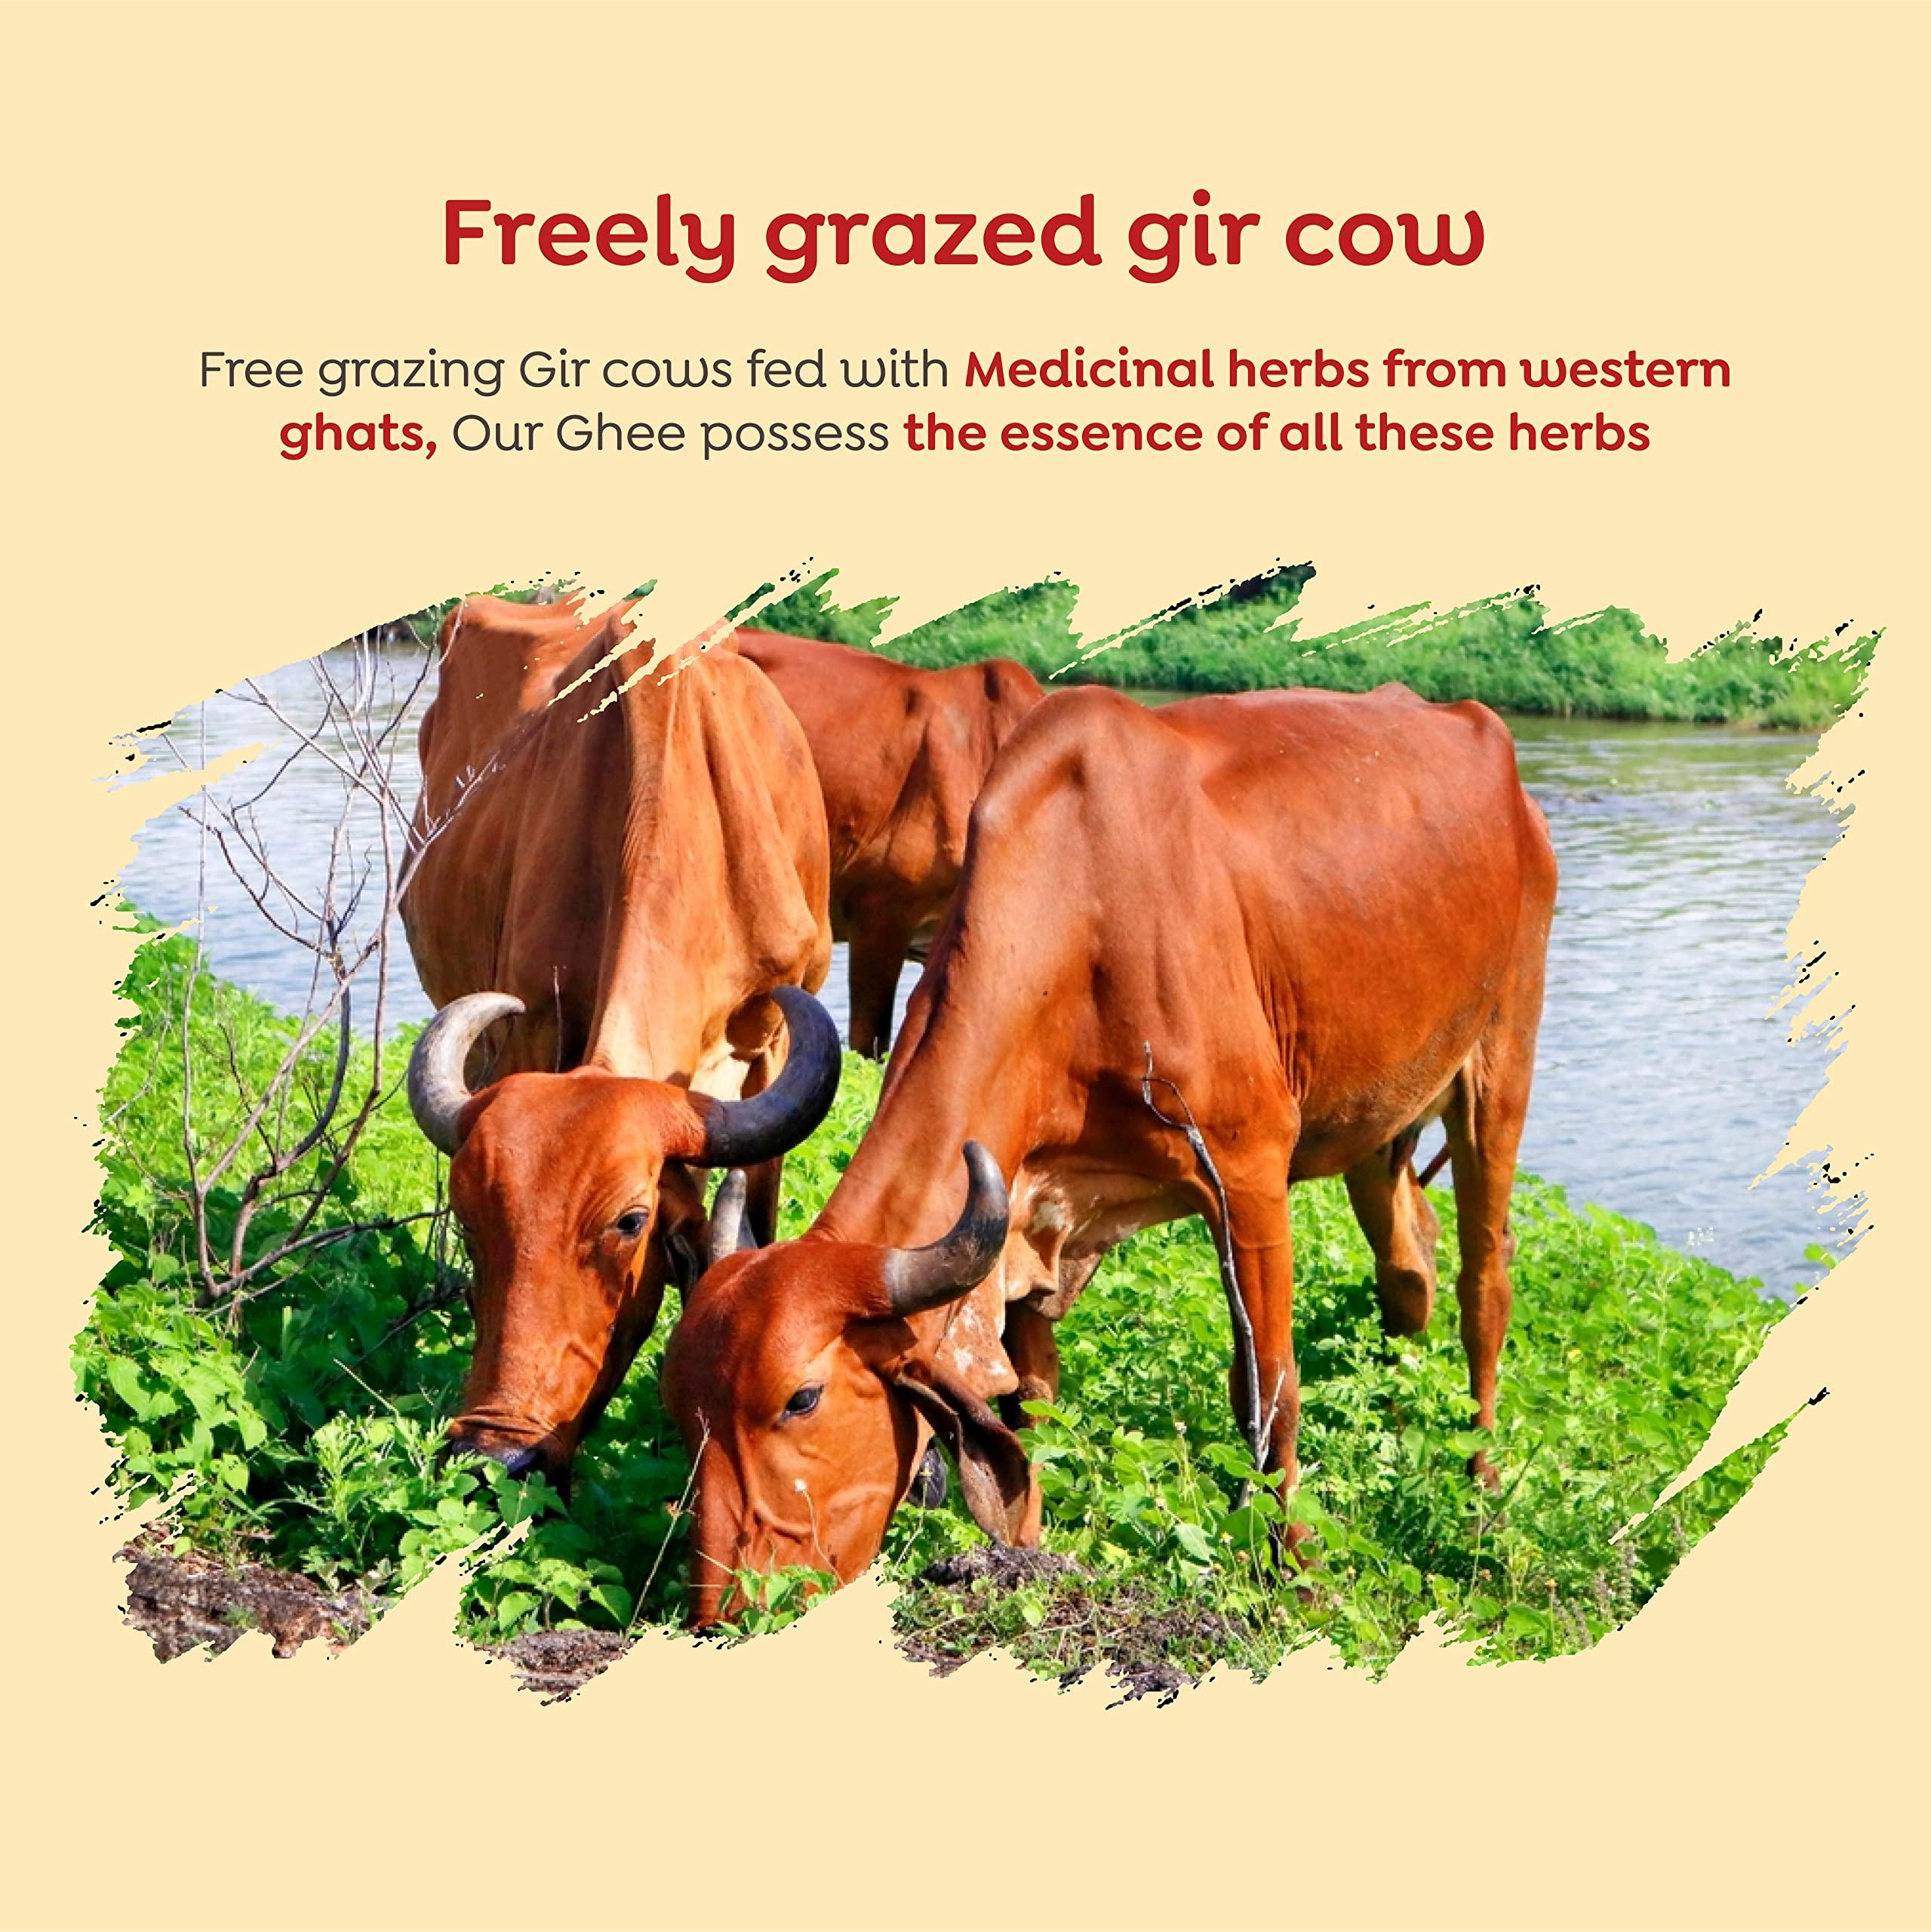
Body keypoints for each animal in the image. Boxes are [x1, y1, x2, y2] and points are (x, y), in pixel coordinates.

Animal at [661, 682, 1557, 1624]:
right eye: (681, 1407)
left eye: (801, 1399)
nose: (721, 1613)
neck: (1080, 922)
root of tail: (1480, 733)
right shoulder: (1029, 1213)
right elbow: (1030, 1407)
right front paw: (1023, 1556)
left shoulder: (1249, 1171)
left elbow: (1270, 1391)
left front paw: (1298, 1572)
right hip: (1378, 1126)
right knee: (1408, 1264)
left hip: (1499, 1062)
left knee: (1484, 1279)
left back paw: (1482, 1485)